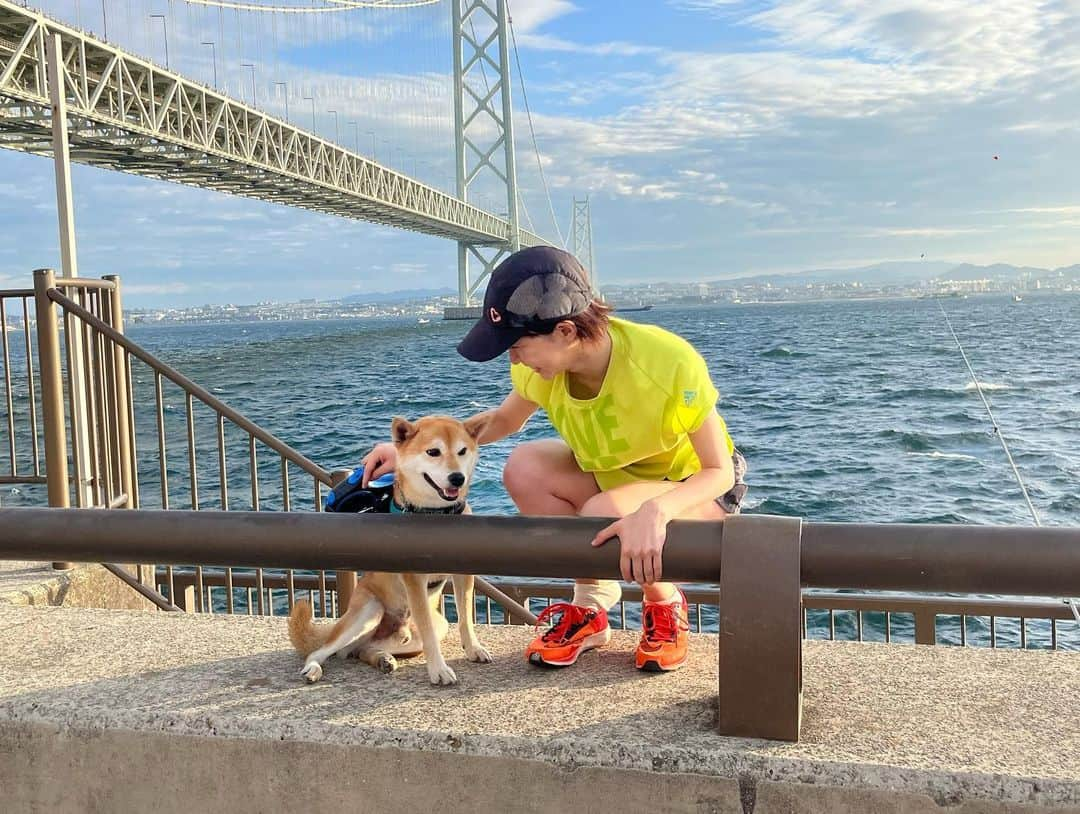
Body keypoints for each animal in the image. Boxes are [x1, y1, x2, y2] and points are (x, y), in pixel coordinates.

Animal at [287, 412, 490, 686]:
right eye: (433, 452)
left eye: (462, 451)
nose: (457, 477)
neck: (436, 515)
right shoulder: (414, 579)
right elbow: (427, 630)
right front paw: (438, 669)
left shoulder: (464, 574)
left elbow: (466, 616)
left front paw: (473, 648)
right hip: (369, 612)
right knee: (322, 651)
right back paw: (314, 668)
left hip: (428, 629)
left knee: (362, 650)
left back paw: (382, 659)